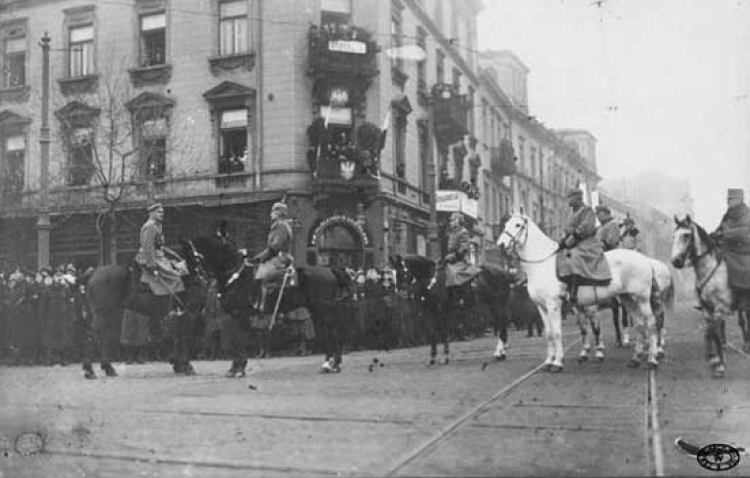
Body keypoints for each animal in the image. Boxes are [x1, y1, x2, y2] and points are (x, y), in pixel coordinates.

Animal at [500, 215, 664, 372]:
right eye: (506, 223)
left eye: (518, 225)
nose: (500, 244)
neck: (543, 264)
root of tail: (645, 259)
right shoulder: (542, 307)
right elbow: (550, 334)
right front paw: (548, 361)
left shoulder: (555, 305)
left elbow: (558, 332)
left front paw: (557, 363)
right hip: (627, 298)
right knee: (640, 324)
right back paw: (635, 359)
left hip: (641, 299)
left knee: (651, 323)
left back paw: (652, 359)